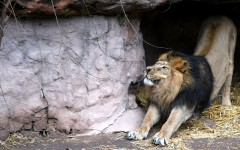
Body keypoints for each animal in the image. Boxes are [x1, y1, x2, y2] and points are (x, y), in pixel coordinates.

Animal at [127, 16, 236, 145]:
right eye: (155, 64)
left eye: (164, 67)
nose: (147, 69)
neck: (167, 90)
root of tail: (220, 16)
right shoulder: (157, 102)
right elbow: (147, 119)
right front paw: (137, 132)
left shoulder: (184, 104)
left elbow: (171, 121)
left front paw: (161, 136)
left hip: (231, 58)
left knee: (228, 83)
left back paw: (227, 104)